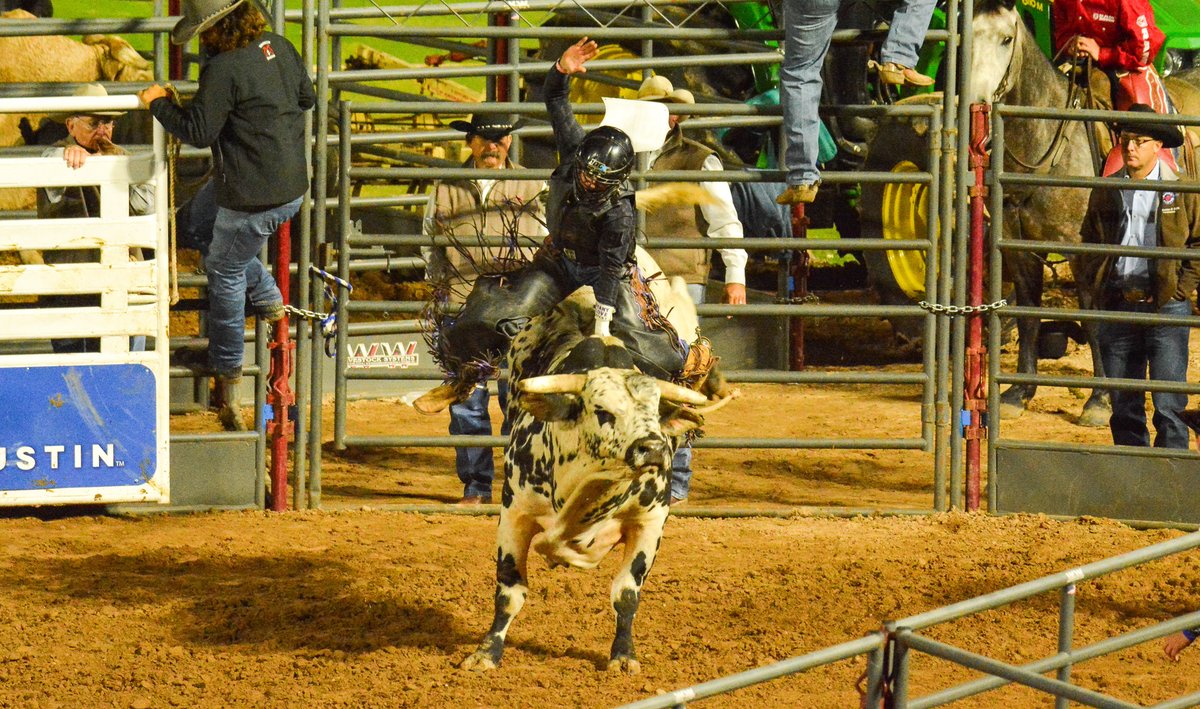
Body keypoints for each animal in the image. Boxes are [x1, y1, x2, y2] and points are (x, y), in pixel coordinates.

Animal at [456, 285, 724, 671]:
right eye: (602, 411)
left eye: (655, 411)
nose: (653, 448)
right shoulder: (514, 512)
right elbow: (510, 590)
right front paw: (486, 653)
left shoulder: (650, 520)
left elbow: (626, 593)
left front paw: (623, 656)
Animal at [969, 0, 1195, 424]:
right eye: (967, 39)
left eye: (1006, 38)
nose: (978, 101)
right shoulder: (1020, 248)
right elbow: (1029, 314)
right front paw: (1019, 392)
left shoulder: (1086, 252)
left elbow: (1092, 317)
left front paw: (1100, 400)